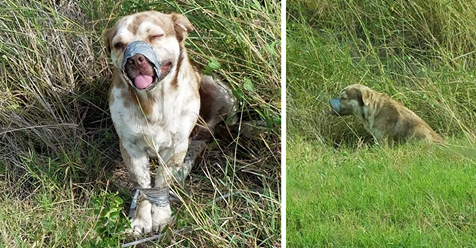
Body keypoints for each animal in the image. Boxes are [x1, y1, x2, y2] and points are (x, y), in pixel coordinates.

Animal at [105, 10, 237, 234]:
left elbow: (161, 182)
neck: (154, 101)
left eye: (155, 36)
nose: (135, 59)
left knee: (204, 138)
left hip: (221, 93)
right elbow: (143, 186)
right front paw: (141, 219)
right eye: (119, 45)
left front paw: (161, 216)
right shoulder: (131, 148)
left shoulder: (175, 146)